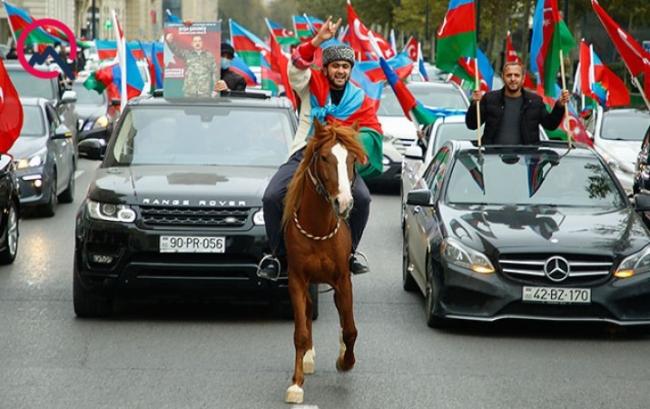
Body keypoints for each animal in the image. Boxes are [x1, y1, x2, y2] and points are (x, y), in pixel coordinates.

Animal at [280, 118, 368, 402]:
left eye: (352, 159)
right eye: (324, 157)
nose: (345, 203)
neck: (318, 228)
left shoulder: (343, 280)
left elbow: (350, 329)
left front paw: (345, 361)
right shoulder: (296, 280)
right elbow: (299, 331)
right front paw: (296, 384)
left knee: (343, 316)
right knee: (308, 312)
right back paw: (308, 357)